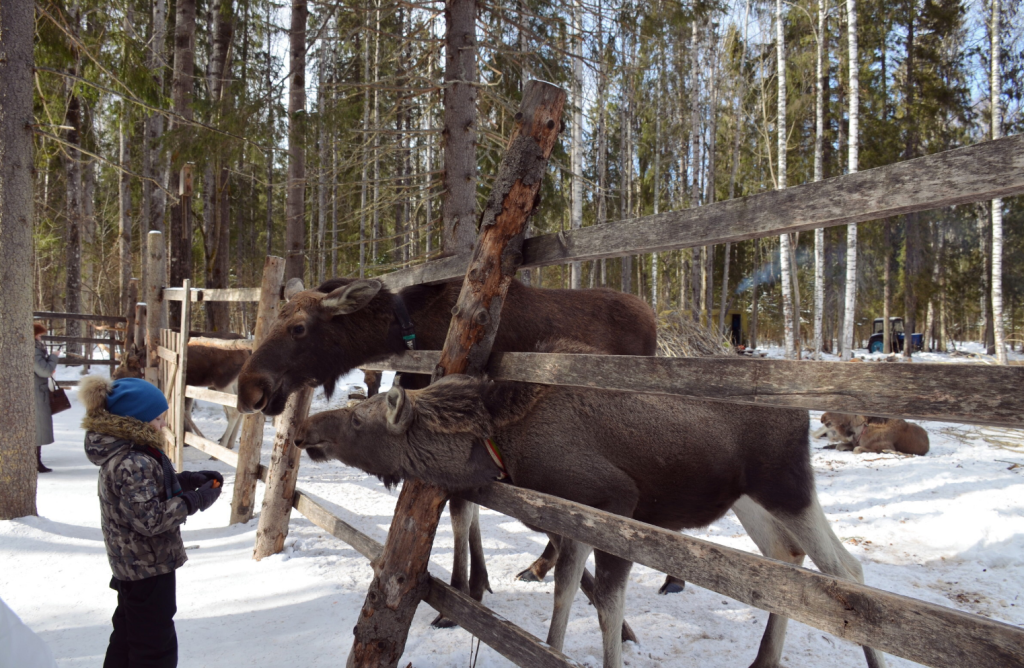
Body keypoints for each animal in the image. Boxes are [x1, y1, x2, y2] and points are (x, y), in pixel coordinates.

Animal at [231, 274, 667, 622]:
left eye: (298, 328)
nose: (249, 389)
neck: (415, 333)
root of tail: (651, 313)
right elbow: (468, 509)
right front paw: (476, 582)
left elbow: (460, 510)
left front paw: (462, 589)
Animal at [294, 340, 888, 667]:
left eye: (358, 419)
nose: (305, 429)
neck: (501, 441)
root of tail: (803, 412)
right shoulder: (573, 515)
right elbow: (564, 591)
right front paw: (551, 648)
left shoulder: (616, 505)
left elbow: (606, 605)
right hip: (749, 500)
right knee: (785, 562)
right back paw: (763, 659)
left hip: (786, 483)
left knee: (846, 569)